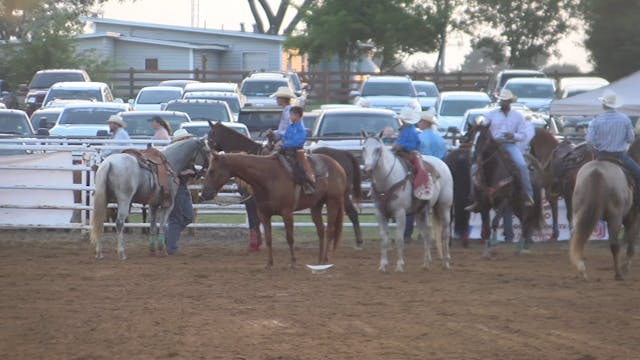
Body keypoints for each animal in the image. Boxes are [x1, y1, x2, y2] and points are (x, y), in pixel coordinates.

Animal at [201, 150, 348, 266]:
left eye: (212, 171)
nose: (204, 194)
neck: (267, 177)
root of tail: (338, 166)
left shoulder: (287, 213)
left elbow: (290, 238)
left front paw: (293, 262)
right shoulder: (264, 214)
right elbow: (268, 239)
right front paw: (269, 263)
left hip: (333, 201)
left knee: (329, 230)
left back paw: (325, 259)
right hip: (316, 205)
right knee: (321, 231)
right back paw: (319, 260)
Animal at [208, 120, 362, 248]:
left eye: (210, 137)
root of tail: (345, 154)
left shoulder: (250, 199)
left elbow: (253, 219)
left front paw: (255, 244)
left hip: (341, 195)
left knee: (352, 214)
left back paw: (358, 243)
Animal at [360, 132, 456, 272]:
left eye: (378, 149)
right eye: (364, 148)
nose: (366, 169)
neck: (387, 181)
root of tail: (443, 163)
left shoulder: (400, 213)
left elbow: (399, 239)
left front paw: (399, 265)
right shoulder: (379, 214)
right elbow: (384, 240)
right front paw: (382, 265)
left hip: (444, 207)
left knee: (445, 233)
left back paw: (446, 262)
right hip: (421, 212)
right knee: (427, 234)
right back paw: (426, 263)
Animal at [464, 124, 544, 256]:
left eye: (484, 138)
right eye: (471, 136)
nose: (473, 156)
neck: (492, 171)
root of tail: (535, 162)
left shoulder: (504, 201)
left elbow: (495, 222)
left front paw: (493, 245)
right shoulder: (484, 204)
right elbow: (486, 226)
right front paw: (487, 251)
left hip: (530, 202)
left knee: (528, 220)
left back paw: (523, 247)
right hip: (516, 204)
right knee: (523, 220)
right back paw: (520, 247)